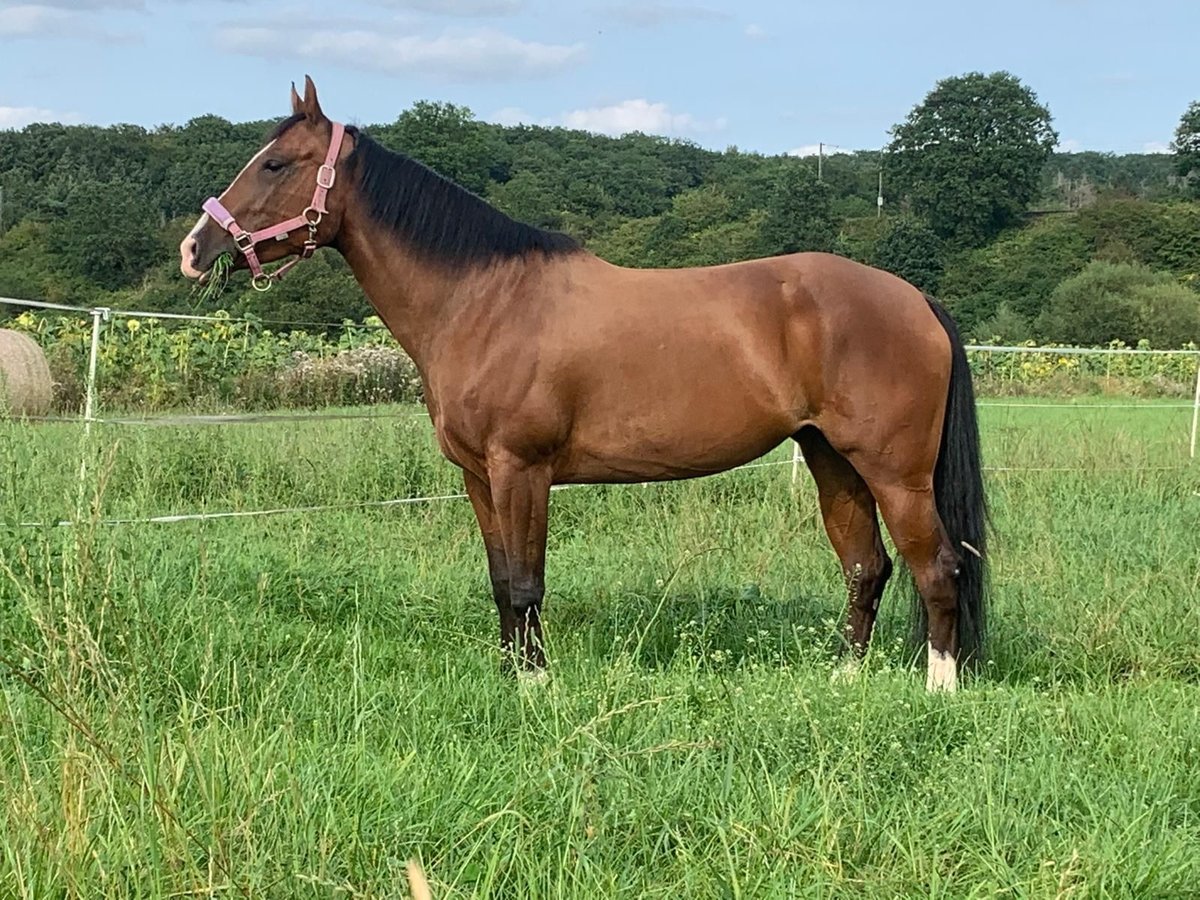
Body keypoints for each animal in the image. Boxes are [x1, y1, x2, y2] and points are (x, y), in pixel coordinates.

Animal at [177, 81, 984, 696]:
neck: (484, 301)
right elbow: (501, 580)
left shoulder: (522, 470)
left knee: (937, 568)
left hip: (896, 473)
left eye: (276, 163)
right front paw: (510, 675)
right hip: (832, 463)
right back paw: (844, 678)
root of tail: (914, 300)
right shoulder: (479, 478)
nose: (194, 249)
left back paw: (938, 690)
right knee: (867, 567)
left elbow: (527, 582)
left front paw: (535, 684)